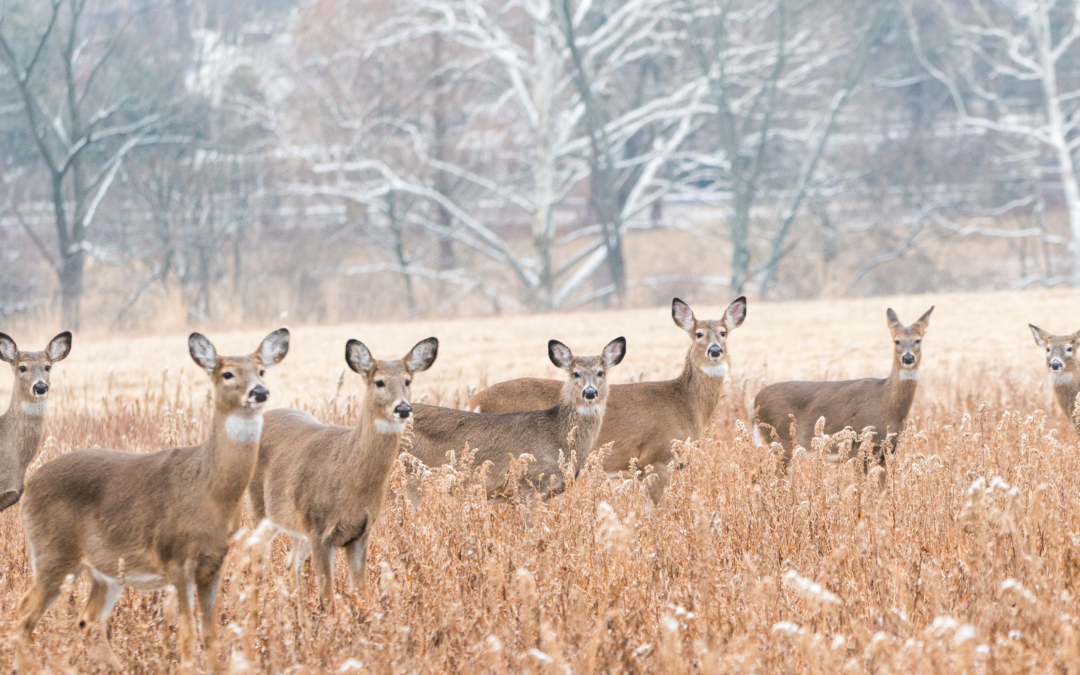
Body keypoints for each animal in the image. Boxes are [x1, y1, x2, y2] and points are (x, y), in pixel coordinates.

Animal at [15, 328, 289, 673]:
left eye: (262, 370)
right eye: (227, 373)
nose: (260, 391)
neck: (209, 491)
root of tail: (30, 485)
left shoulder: (213, 563)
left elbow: (212, 636)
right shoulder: (177, 559)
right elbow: (187, 635)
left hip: (105, 570)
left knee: (87, 621)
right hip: (54, 553)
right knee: (24, 616)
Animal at [248, 337, 438, 609]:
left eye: (407, 381)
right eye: (379, 382)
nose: (403, 408)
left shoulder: (360, 533)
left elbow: (361, 593)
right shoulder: (319, 530)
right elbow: (327, 596)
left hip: (295, 523)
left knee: (290, 562)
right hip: (260, 508)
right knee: (256, 558)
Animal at [467, 298, 746, 504]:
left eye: (723, 333)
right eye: (698, 334)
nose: (715, 351)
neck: (686, 402)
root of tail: (476, 400)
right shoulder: (657, 458)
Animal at [753, 307, 933, 473]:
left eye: (918, 340)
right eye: (896, 341)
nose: (908, 358)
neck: (886, 404)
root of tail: (755, 401)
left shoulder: (886, 452)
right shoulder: (858, 448)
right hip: (780, 440)